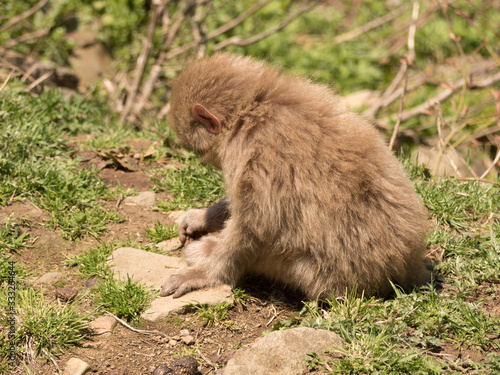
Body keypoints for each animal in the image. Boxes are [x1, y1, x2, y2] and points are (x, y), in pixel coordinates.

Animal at [159, 52, 430, 300]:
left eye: (198, 151)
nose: (204, 160)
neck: (251, 108)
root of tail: (405, 268)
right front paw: (202, 217)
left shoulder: (255, 155)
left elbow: (255, 225)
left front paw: (204, 274)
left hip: (312, 274)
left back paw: (206, 250)